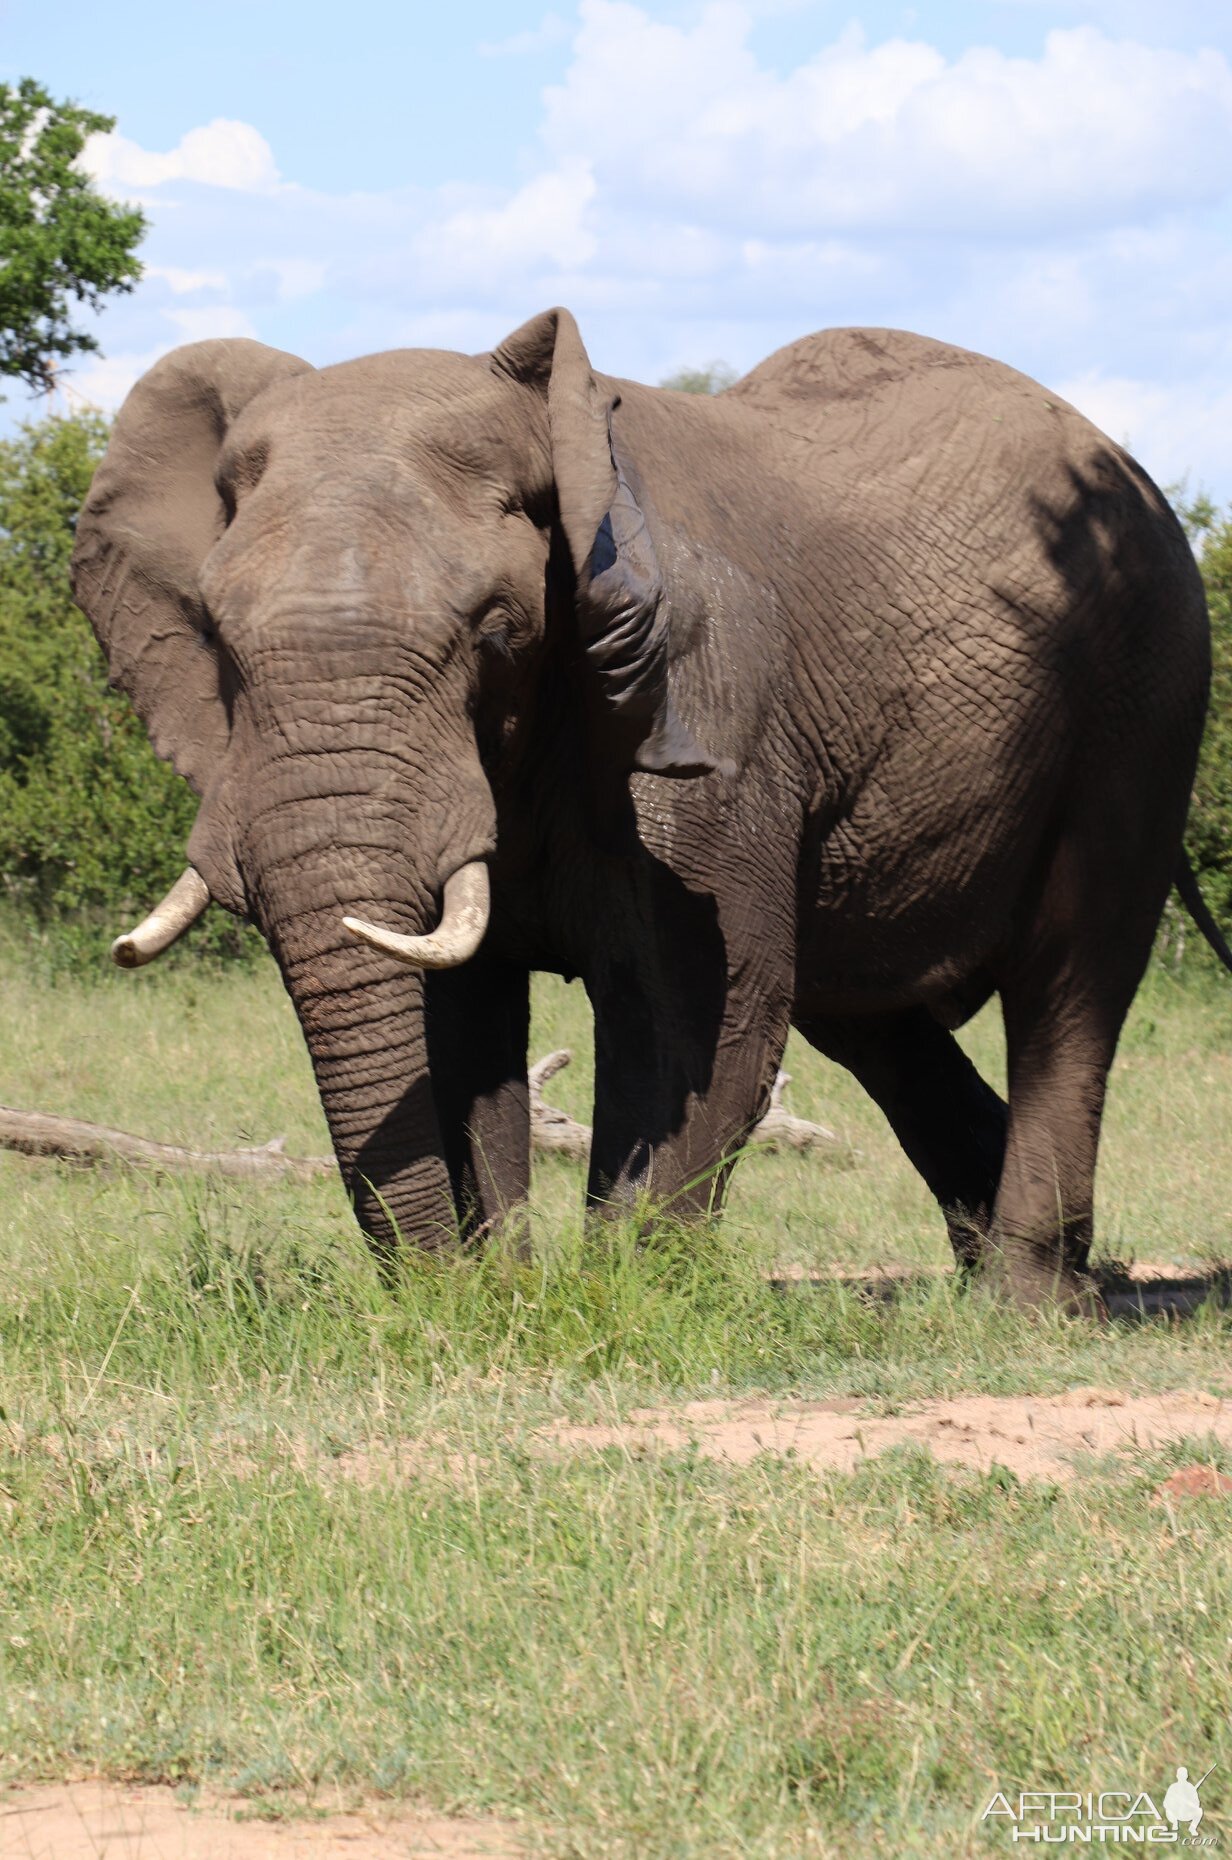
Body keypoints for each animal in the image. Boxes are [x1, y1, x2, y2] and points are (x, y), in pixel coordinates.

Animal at [72, 312, 1228, 1316]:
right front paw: (492, 1297)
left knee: (1068, 983)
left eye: (493, 631)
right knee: (874, 1018)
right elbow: (458, 1015)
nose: (434, 1290)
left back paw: (1023, 1305)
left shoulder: (699, 707)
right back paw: (1025, 1275)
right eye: (217, 634)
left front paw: (616, 1296)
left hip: (1141, 700)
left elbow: (697, 1004)